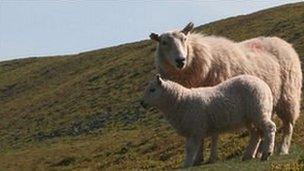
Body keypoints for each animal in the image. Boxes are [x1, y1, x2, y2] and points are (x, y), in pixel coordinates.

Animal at [141, 74, 276, 167]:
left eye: (152, 89)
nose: (142, 103)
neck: (180, 102)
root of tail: (264, 85)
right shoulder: (198, 129)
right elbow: (200, 145)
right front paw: (198, 161)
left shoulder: (196, 128)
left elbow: (190, 148)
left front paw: (187, 164)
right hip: (249, 117)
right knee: (256, 134)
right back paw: (248, 155)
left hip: (259, 109)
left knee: (270, 128)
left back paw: (267, 153)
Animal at [150, 22, 302, 159]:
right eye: (163, 42)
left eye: (184, 39)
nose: (180, 60)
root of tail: (284, 43)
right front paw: (198, 159)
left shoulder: (212, 103)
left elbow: (212, 135)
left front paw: (209, 158)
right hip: (265, 104)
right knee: (262, 128)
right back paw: (257, 153)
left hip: (288, 96)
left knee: (288, 126)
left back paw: (282, 150)